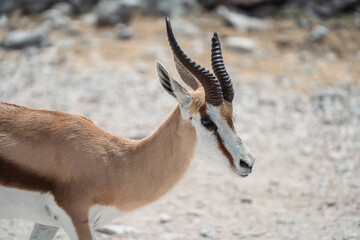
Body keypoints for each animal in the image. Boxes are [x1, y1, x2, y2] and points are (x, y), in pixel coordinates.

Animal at [0, 18, 256, 240]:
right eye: (207, 121)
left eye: (232, 115)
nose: (247, 162)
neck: (114, 162)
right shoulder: (77, 220)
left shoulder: (47, 223)